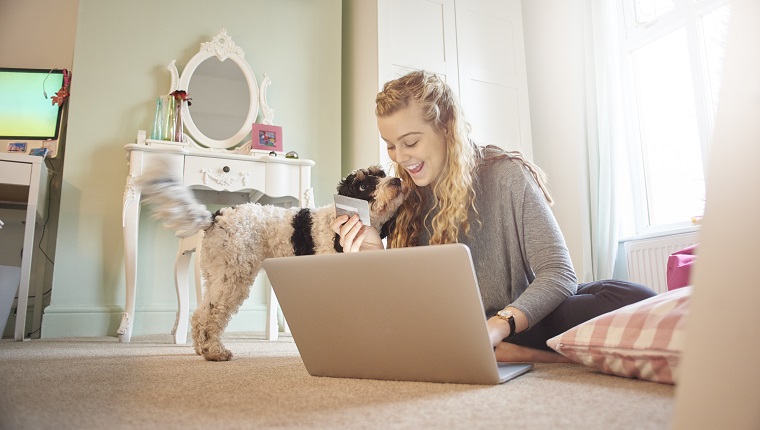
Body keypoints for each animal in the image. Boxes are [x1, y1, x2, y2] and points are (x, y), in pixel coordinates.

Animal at [139, 165, 406, 360]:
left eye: (382, 174)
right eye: (363, 185)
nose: (397, 181)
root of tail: (216, 217)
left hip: (218, 274)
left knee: (199, 314)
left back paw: (200, 348)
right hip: (233, 275)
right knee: (211, 314)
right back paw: (214, 351)